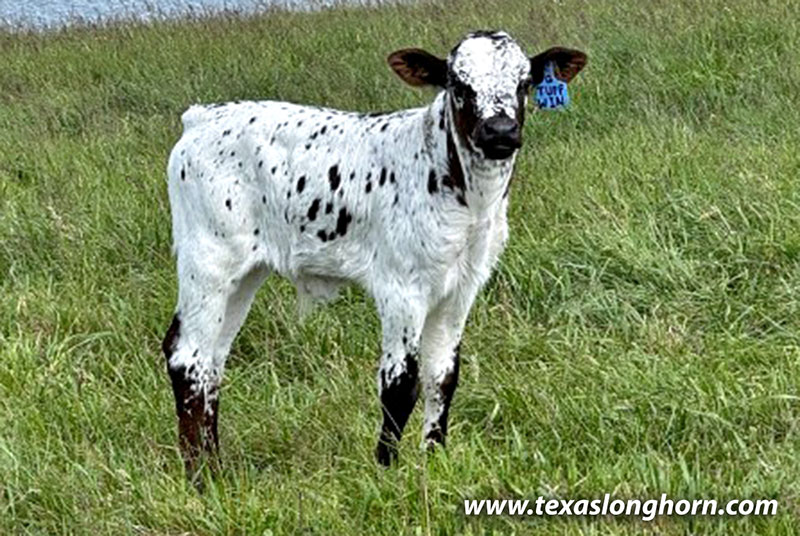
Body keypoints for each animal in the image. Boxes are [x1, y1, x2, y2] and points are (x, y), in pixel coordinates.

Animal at [162, 29, 586, 478]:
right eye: (458, 84)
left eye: (525, 83)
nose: (500, 131)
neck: (469, 199)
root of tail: (202, 116)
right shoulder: (401, 287)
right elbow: (400, 382)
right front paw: (387, 467)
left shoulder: (461, 290)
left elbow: (442, 376)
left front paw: (433, 460)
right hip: (207, 261)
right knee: (187, 357)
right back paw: (198, 476)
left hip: (244, 275)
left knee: (213, 359)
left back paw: (215, 465)